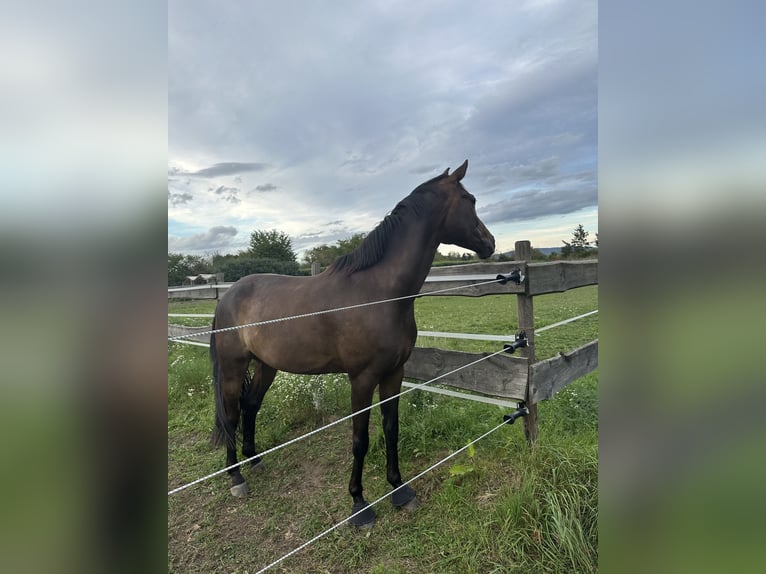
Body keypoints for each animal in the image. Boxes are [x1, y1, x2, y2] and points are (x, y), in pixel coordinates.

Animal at [210, 160, 498, 528]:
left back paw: (255, 460)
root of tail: (228, 295)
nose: (490, 242)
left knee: (250, 405)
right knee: (231, 413)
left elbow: (391, 429)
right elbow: (360, 440)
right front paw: (359, 504)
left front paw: (399, 490)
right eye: (469, 199)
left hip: (266, 365)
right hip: (234, 367)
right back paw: (236, 476)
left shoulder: (394, 374)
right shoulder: (361, 379)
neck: (380, 293)